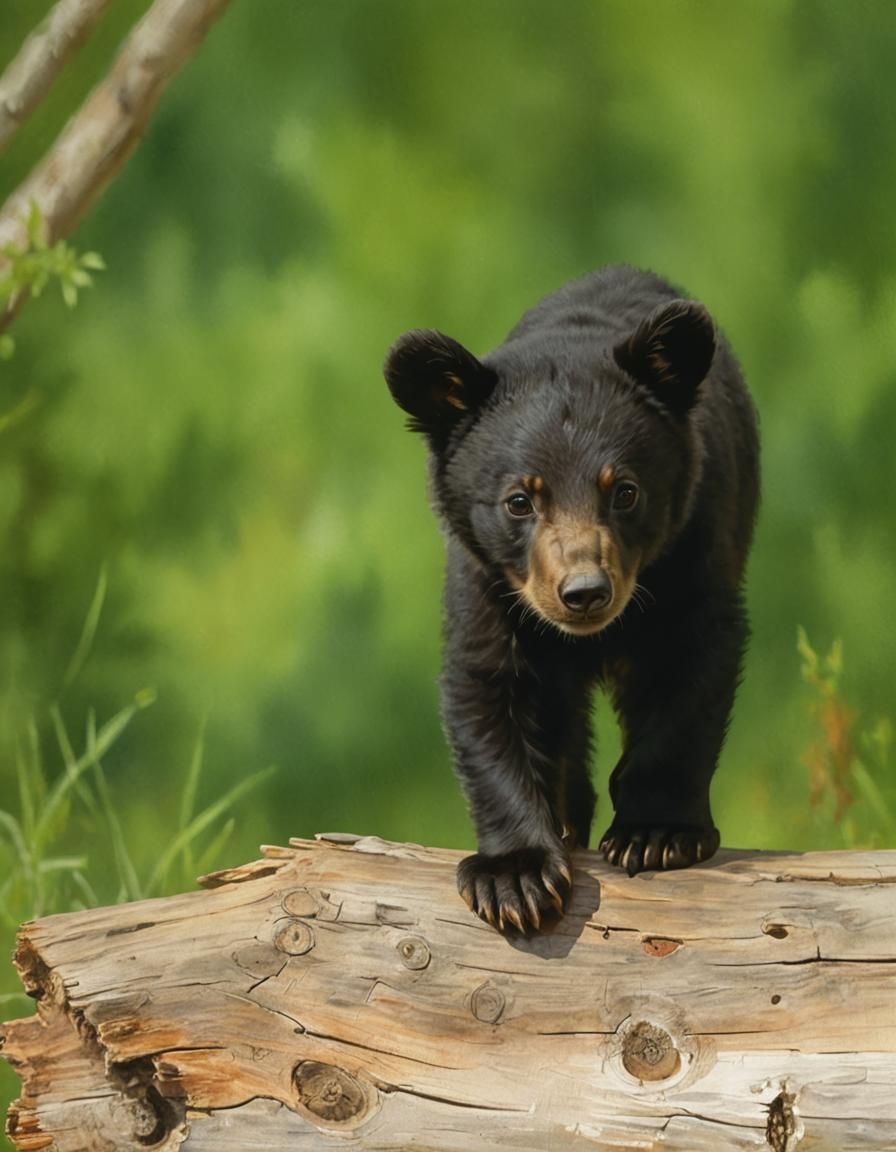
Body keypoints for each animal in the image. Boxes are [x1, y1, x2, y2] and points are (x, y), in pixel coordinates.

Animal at [384, 265, 759, 934]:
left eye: (625, 490)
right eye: (519, 500)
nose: (584, 592)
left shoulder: (694, 546)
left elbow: (690, 674)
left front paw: (656, 832)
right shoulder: (490, 585)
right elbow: (487, 692)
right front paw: (516, 878)